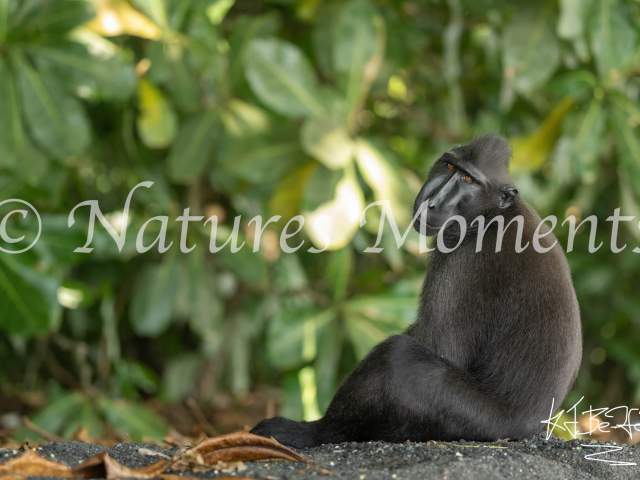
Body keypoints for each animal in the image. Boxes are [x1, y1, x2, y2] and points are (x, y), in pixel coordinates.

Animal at [252, 134, 584, 446]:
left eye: (468, 180)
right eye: (449, 166)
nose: (432, 201)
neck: (491, 216)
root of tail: (532, 427)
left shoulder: (465, 260)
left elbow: (442, 348)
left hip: (474, 420)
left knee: (396, 358)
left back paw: (313, 433)